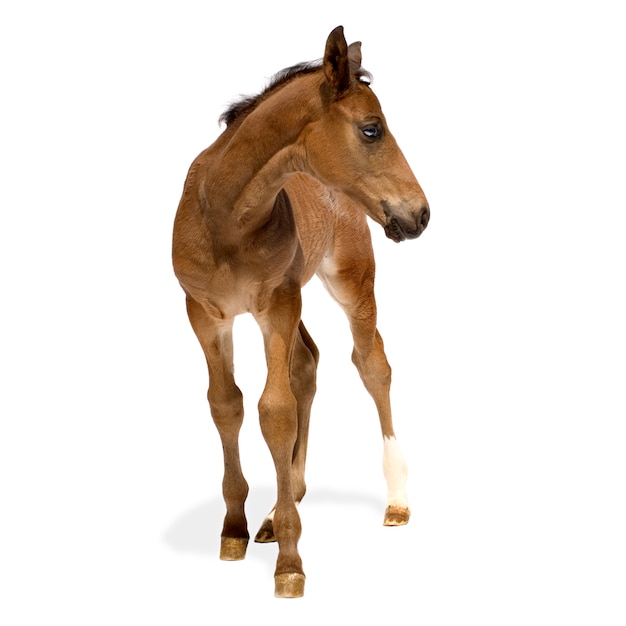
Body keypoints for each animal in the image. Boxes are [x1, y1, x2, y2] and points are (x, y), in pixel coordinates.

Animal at [172, 26, 428, 596]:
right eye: (372, 129)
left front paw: (290, 563)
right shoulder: (205, 313)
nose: (422, 213)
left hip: (348, 278)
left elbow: (276, 410)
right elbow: (226, 404)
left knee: (372, 365)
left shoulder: (277, 304)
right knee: (308, 362)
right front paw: (234, 530)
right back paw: (277, 507)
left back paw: (396, 500)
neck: (227, 217)